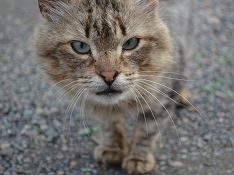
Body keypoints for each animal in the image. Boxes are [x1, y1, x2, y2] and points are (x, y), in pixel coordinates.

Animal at [35, 0, 194, 174]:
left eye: (131, 43)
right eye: (80, 47)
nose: (109, 76)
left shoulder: (159, 100)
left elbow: (146, 133)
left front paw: (138, 159)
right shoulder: (101, 107)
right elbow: (109, 126)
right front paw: (113, 148)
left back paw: (183, 95)